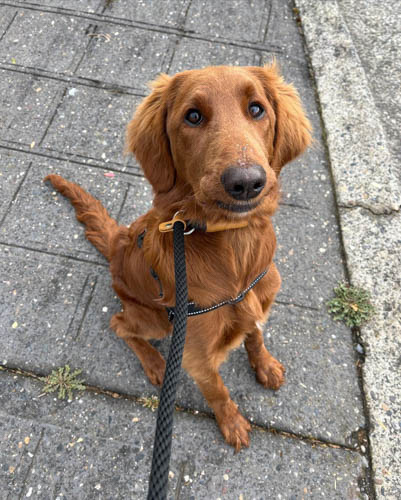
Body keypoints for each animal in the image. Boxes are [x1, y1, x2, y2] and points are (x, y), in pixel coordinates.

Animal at [45, 62, 310, 450]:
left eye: (257, 109)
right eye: (193, 116)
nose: (246, 182)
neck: (233, 250)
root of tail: (117, 243)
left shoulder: (257, 305)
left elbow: (255, 336)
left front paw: (264, 364)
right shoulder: (195, 356)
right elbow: (217, 391)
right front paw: (231, 422)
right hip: (155, 320)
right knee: (119, 324)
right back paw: (155, 363)